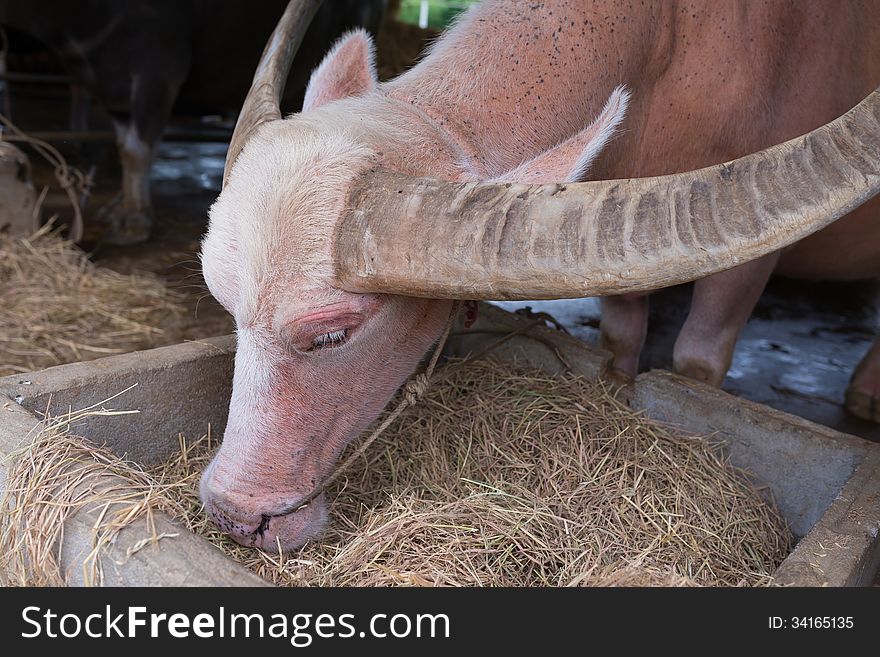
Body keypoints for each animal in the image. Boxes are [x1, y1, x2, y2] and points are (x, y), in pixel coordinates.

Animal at [0, 0, 384, 243]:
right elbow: (124, 144)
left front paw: (134, 221)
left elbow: (136, 148)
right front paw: (121, 206)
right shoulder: (110, 86)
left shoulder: (158, 72)